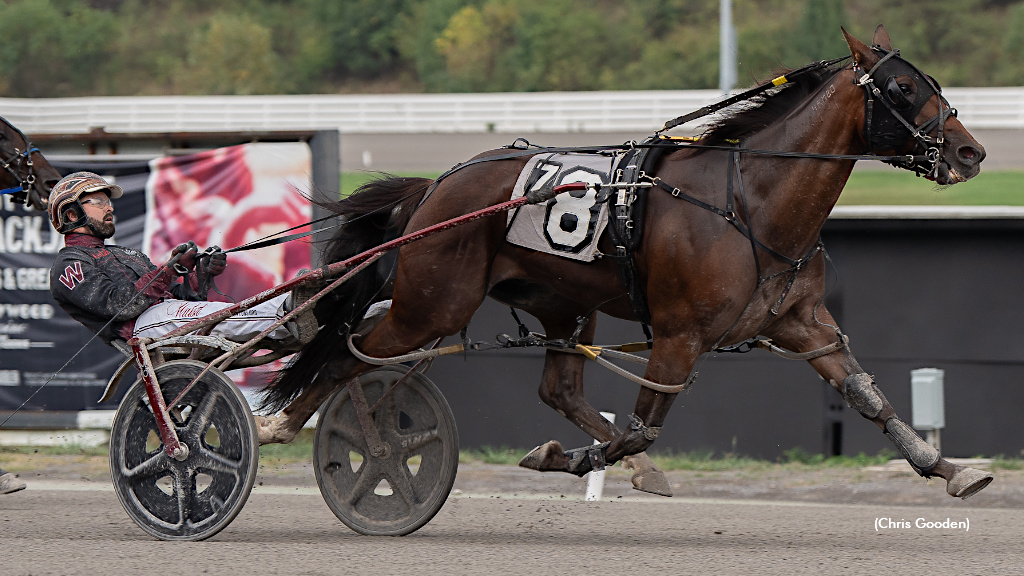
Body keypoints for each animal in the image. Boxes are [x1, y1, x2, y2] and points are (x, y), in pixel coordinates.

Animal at [256, 24, 991, 496]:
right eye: (901, 88)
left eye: (929, 80)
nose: (971, 152)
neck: (750, 203)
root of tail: (436, 186)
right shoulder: (679, 335)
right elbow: (639, 430)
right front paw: (568, 457)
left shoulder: (801, 323)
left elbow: (866, 393)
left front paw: (949, 467)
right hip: (432, 303)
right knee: (346, 349)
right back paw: (281, 425)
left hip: (560, 303)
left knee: (556, 387)